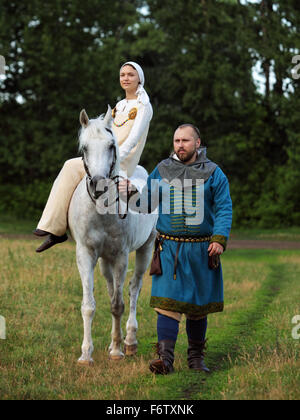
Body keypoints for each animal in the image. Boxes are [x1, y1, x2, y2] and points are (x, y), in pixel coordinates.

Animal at [68, 106, 157, 364]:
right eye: (84, 148)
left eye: (111, 146)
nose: (98, 185)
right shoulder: (86, 254)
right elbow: (89, 305)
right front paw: (86, 354)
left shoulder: (120, 257)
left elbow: (118, 305)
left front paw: (117, 351)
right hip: (104, 262)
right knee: (111, 291)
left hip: (146, 248)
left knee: (134, 288)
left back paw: (129, 341)